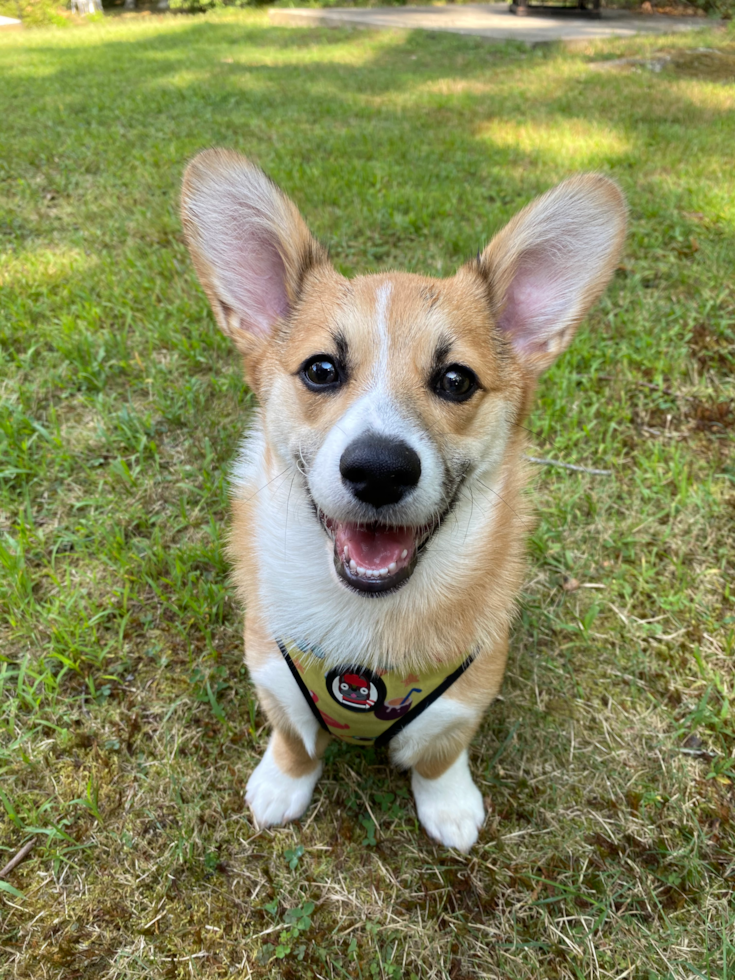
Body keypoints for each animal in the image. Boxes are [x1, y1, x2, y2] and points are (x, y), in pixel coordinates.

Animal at [180, 149, 628, 852]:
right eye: (321, 370)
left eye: (456, 380)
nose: (379, 471)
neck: (372, 630)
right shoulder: (272, 673)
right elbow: (293, 738)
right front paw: (282, 784)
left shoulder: (466, 696)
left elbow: (441, 753)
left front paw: (449, 806)